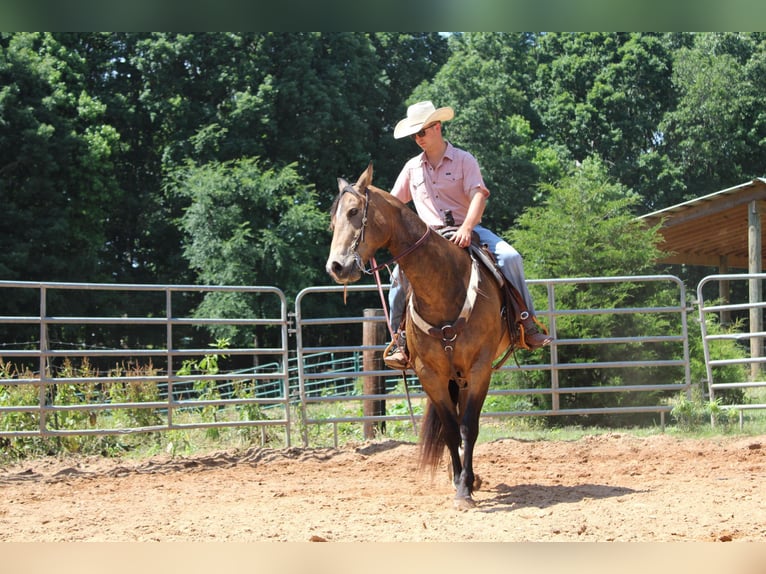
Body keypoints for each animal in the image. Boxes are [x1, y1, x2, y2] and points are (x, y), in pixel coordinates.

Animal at [324, 162, 516, 508]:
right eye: (333, 220)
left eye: (354, 211)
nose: (336, 267)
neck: (443, 286)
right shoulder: (430, 374)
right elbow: (451, 430)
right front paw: (460, 485)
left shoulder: (479, 369)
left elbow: (469, 426)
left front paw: (466, 488)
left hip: (467, 375)